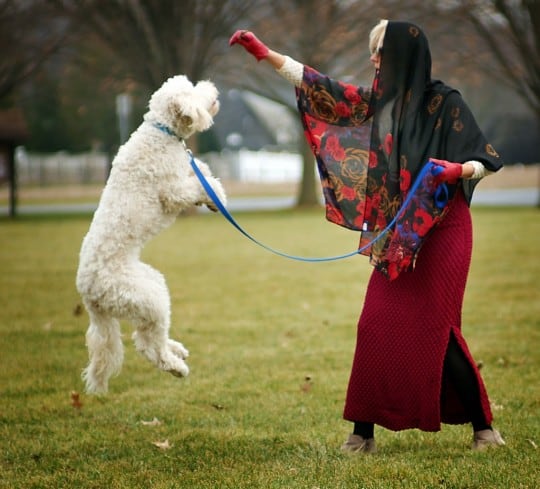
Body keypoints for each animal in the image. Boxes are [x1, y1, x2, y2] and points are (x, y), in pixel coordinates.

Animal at [76, 74, 226, 392]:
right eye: (192, 90)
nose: (212, 88)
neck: (162, 131)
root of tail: (89, 295)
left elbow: (199, 169)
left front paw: (210, 195)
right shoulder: (172, 191)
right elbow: (196, 184)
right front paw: (216, 196)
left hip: (150, 287)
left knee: (147, 336)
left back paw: (177, 349)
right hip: (145, 296)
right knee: (148, 345)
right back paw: (176, 366)